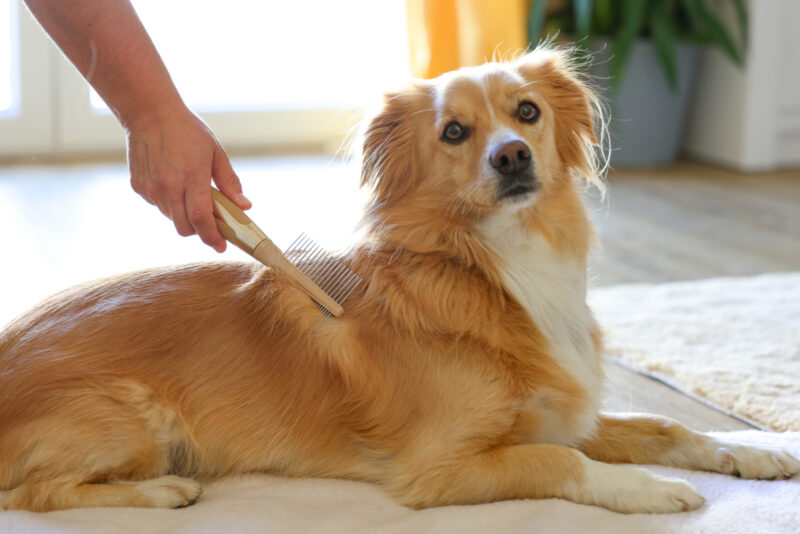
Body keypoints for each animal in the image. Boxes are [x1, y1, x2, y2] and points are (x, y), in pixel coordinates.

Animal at [1, 47, 800, 516]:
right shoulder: (440, 469)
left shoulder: (560, 408)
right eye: (454, 132)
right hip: (133, 420)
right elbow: (564, 461)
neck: (496, 268)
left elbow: (665, 425)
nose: (511, 156)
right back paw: (163, 488)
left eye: (528, 113)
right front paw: (650, 488)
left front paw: (757, 451)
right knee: (38, 493)